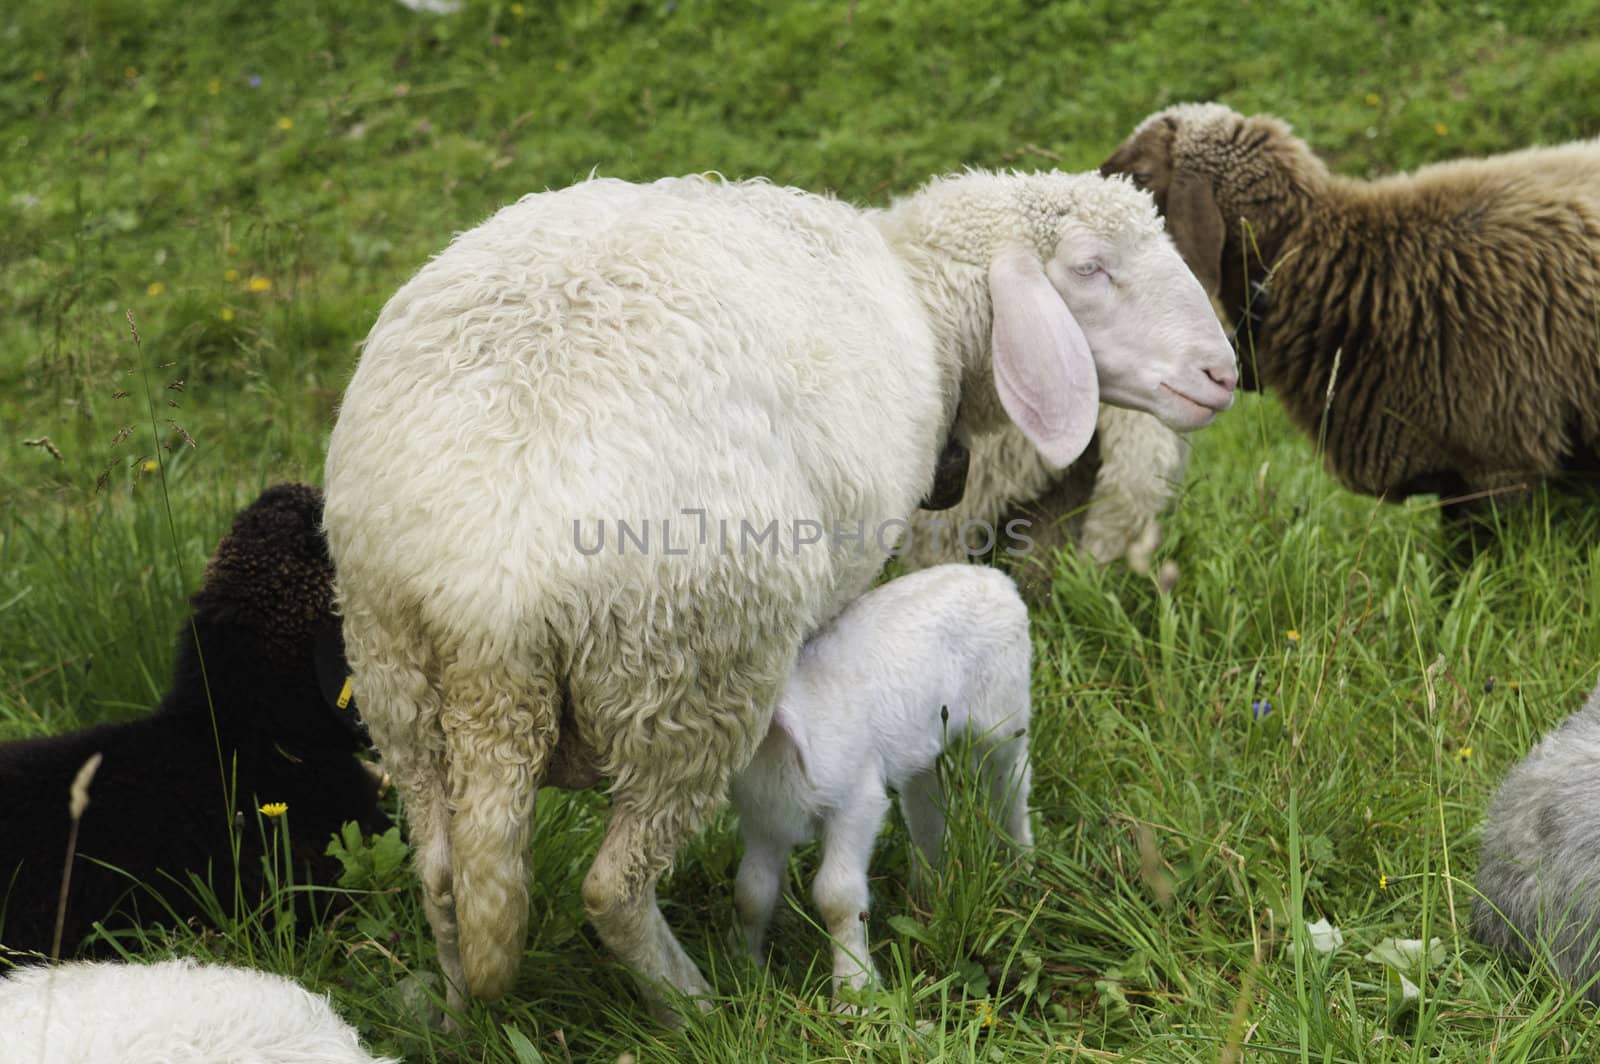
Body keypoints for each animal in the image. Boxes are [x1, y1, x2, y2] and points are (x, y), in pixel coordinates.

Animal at [732, 560, 1030, 998]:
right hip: (925, 741)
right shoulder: (763, 821)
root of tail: (993, 576)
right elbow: (751, 892)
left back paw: (1021, 865)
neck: (772, 755)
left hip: (1002, 718)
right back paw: (927, 891)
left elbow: (838, 897)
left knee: (1011, 786)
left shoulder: (856, 803)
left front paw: (855, 991)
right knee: (926, 804)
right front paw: (747, 973)